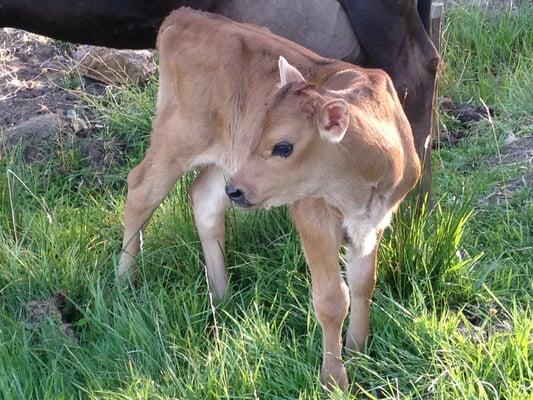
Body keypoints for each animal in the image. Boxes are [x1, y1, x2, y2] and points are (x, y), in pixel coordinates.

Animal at [117, 8, 420, 390]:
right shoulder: (313, 216)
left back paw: (221, 295)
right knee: (140, 189)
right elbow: (333, 298)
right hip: (179, 138)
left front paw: (358, 350)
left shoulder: (374, 221)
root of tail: (183, 17)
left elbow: (364, 283)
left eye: (282, 146)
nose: (238, 191)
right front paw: (334, 378)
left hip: (227, 163)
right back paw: (124, 281)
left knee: (204, 199)